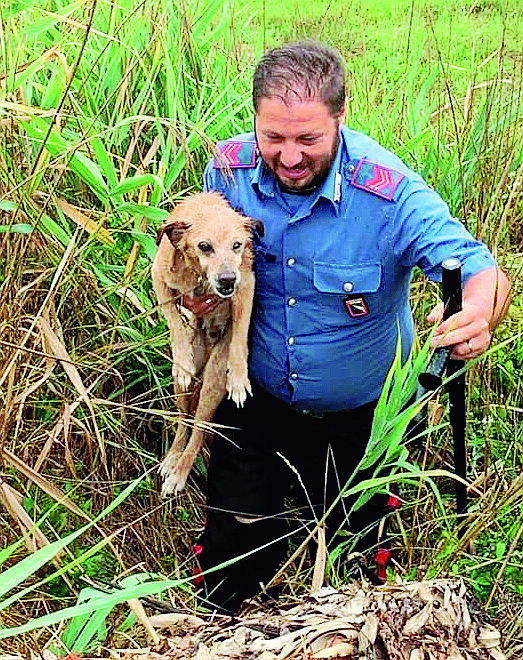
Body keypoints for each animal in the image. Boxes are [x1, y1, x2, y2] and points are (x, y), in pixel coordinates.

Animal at [152, 191, 256, 496]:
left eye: (237, 245)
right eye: (204, 246)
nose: (227, 279)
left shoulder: (246, 285)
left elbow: (240, 332)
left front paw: (239, 377)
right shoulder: (159, 279)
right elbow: (174, 321)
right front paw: (182, 361)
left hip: (212, 382)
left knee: (199, 430)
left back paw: (180, 473)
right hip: (182, 389)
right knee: (184, 419)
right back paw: (173, 458)